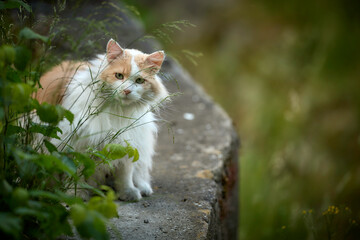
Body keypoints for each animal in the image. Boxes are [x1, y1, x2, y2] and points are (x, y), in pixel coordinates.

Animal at [35, 39, 168, 201]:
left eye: (139, 80)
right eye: (119, 76)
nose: (127, 91)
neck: (118, 112)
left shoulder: (127, 142)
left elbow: (125, 175)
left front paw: (128, 193)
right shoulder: (76, 143)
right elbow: (75, 172)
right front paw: (76, 194)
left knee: (139, 173)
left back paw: (142, 188)